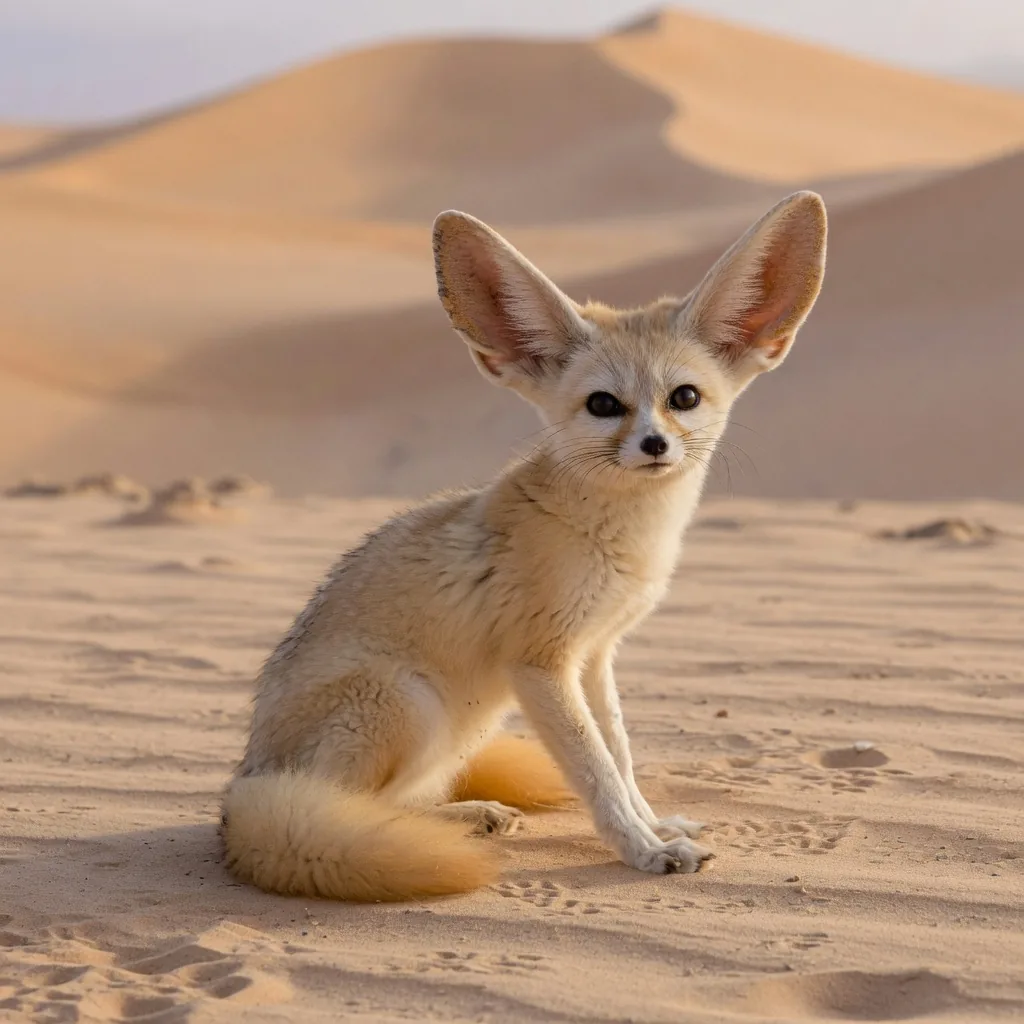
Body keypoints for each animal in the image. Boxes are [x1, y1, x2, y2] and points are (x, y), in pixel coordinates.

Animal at [221, 190, 828, 901]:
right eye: (603, 405)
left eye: (684, 398)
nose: (654, 445)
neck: (618, 538)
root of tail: (238, 793)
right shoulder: (540, 663)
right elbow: (595, 771)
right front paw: (644, 850)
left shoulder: (595, 655)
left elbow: (621, 756)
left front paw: (655, 824)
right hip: (407, 702)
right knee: (357, 811)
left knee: (400, 802)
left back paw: (470, 814)